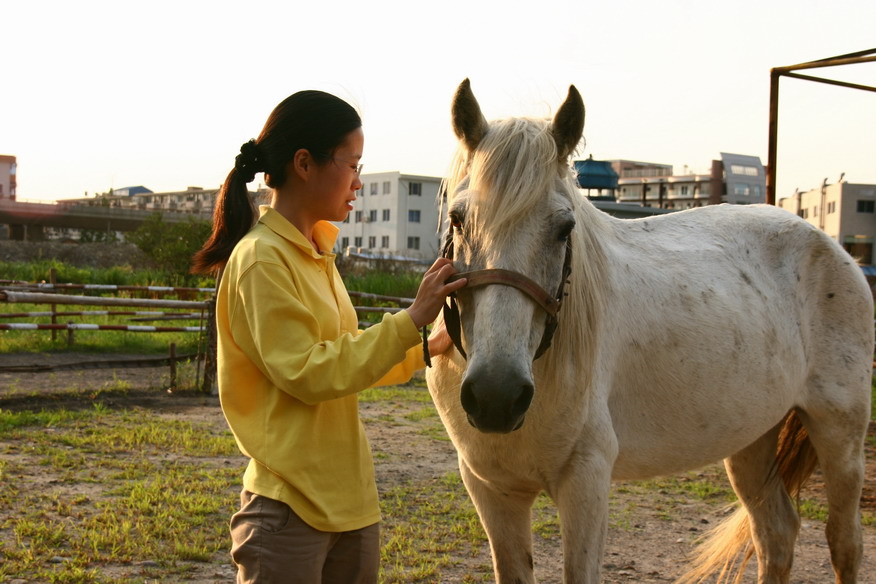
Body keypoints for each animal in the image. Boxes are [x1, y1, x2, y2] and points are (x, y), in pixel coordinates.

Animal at [422, 78, 868, 584]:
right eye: (458, 219)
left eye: (564, 227)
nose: (496, 395)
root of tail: (834, 249)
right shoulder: (492, 490)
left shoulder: (586, 482)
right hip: (752, 438)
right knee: (776, 533)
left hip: (840, 432)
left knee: (843, 541)